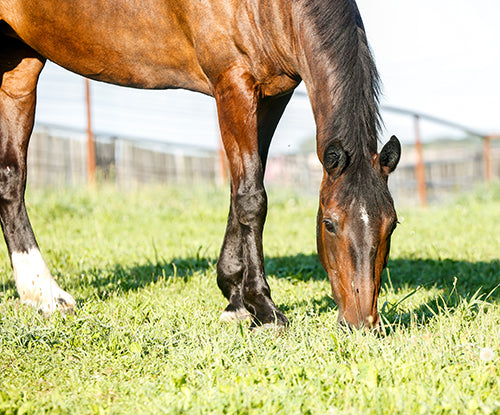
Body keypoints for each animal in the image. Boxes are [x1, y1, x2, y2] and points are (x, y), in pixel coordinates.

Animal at [0, 0, 400, 332]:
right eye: (329, 223)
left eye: (392, 225)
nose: (362, 323)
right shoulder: (233, 83)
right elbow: (252, 198)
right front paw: (264, 308)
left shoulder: (273, 95)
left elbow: (243, 189)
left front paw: (236, 299)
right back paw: (47, 293)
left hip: (19, 63)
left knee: (10, 179)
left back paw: (39, 294)